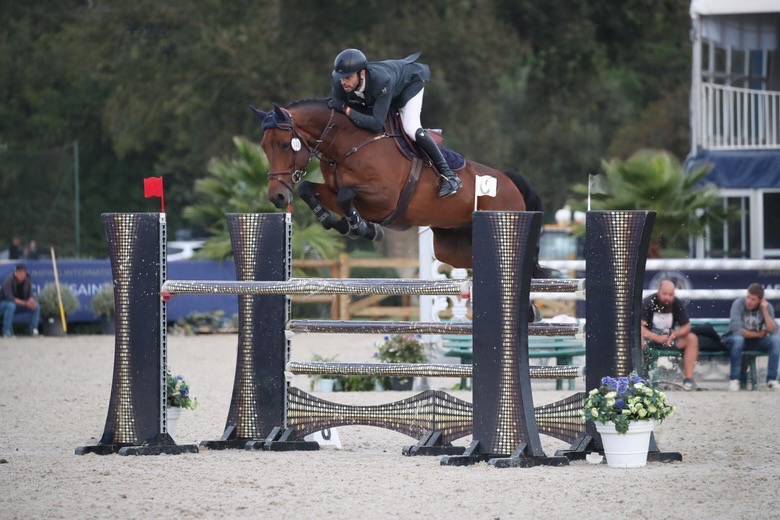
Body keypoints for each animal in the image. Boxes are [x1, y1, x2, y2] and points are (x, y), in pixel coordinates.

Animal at [252, 99, 547, 272]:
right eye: (264, 147)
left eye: (283, 145)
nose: (277, 197)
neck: (348, 145)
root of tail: (510, 182)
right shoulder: (334, 191)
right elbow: (309, 190)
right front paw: (336, 222)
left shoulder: (384, 199)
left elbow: (347, 196)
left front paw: (363, 228)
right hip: (450, 246)